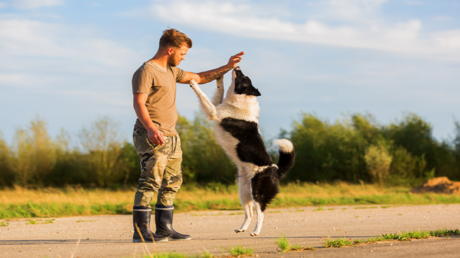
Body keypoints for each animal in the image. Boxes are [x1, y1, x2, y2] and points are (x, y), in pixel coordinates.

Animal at [189, 66, 296, 236]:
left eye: (243, 77)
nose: (237, 66)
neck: (243, 98)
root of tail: (276, 169)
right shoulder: (217, 105)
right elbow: (219, 90)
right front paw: (219, 78)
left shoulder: (214, 112)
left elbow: (203, 95)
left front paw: (194, 83)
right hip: (244, 192)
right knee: (250, 213)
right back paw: (242, 228)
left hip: (257, 193)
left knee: (261, 214)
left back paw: (255, 232)